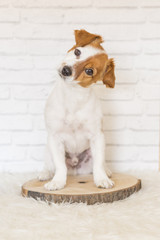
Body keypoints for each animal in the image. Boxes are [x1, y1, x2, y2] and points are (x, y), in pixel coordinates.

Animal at [38, 29, 116, 190]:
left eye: (89, 71)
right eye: (77, 51)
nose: (66, 70)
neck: (73, 96)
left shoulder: (97, 137)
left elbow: (98, 165)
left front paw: (101, 179)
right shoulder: (55, 138)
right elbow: (60, 166)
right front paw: (57, 182)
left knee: (100, 163)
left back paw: (107, 171)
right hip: (48, 148)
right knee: (50, 164)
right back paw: (46, 173)